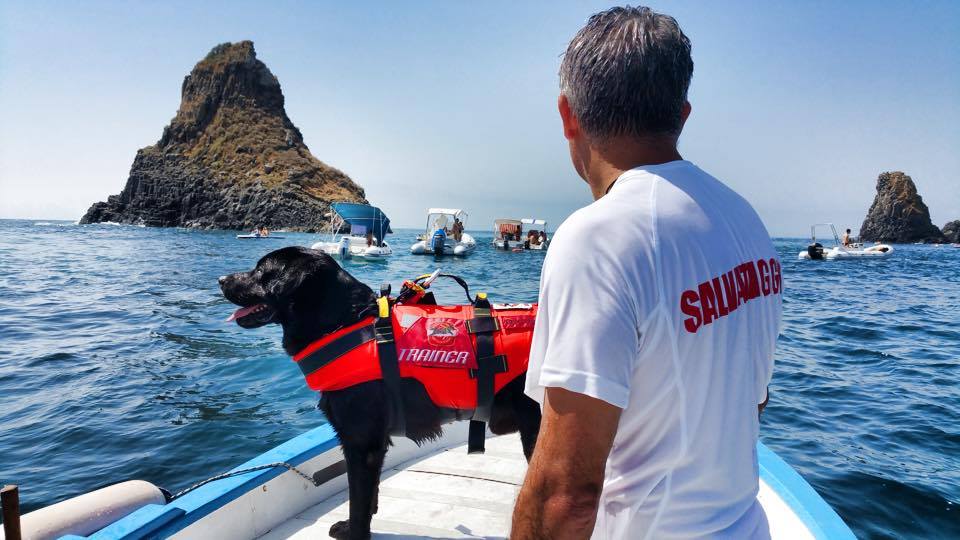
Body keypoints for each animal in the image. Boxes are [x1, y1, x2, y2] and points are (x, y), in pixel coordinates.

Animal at [219, 246, 542, 539]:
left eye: (261, 271)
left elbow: (358, 503)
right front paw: (351, 526)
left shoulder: (361, 445)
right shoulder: (373, 443)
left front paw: (355, 532)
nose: (221, 279)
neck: (343, 323)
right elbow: (369, 496)